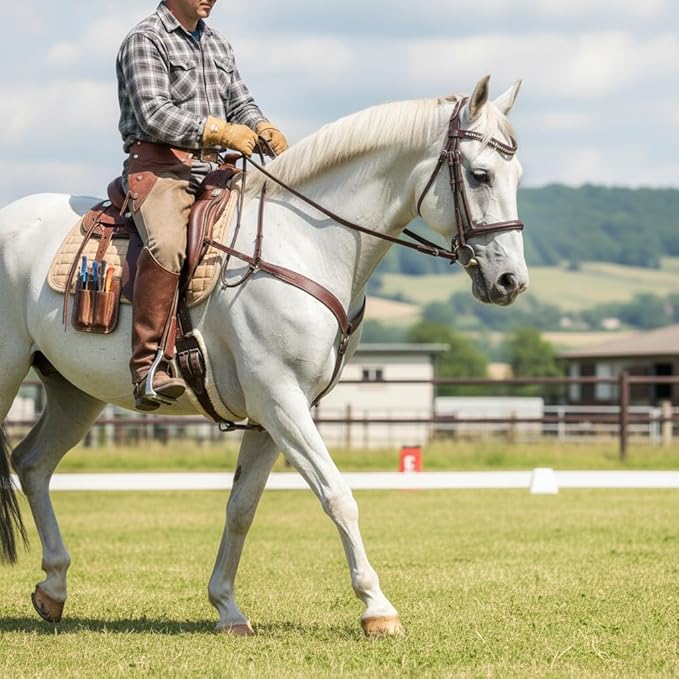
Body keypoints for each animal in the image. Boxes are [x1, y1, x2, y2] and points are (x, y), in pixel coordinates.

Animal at [0, 75, 528, 637]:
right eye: (480, 175)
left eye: (516, 175)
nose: (510, 281)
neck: (300, 244)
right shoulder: (281, 401)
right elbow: (337, 496)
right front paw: (377, 608)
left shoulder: (271, 414)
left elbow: (242, 507)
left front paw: (227, 608)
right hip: (9, 373)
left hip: (74, 393)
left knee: (32, 463)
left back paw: (53, 589)